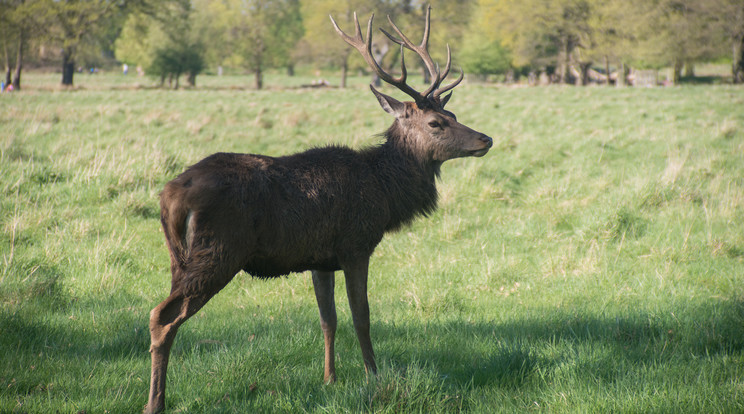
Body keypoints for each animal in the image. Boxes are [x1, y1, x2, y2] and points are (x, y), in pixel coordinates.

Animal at [144, 4, 494, 412]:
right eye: (437, 122)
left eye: (453, 115)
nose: (486, 139)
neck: (385, 192)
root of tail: (169, 196)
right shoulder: (356, 245)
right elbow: (362, 315)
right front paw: (374, 377)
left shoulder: (319, 259)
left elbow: (328, 318)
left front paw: (329, 379)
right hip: (218, 251)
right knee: (162, 316)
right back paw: (155, 402)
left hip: (179, 258)